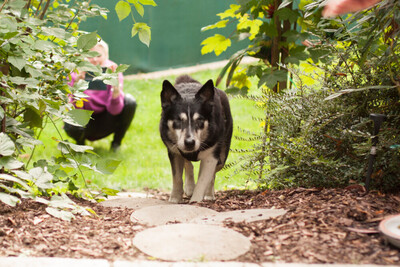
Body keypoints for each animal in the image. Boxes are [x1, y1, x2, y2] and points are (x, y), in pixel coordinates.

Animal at [160, 75, 234, 203]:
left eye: (199, 120)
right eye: (178, 121)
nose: (190, 142)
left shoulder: (211, 156)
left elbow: (203, 180)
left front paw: (195, 201)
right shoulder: (174, 152)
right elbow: (177, 178)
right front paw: (175, 199)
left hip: (222, 155)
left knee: (213, 173)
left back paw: (209, 194)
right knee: (188, 163)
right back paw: (190, 187)